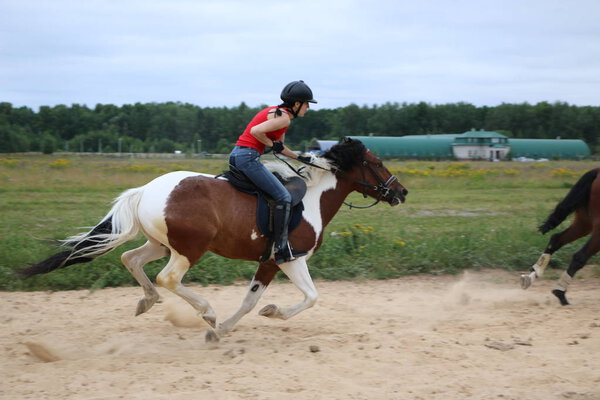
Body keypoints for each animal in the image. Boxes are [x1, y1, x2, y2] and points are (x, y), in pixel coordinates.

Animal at [22, 138, 408, 344]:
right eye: (378, 162)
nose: (401, 192)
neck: (312, 197)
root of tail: (146, 190)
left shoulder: (269, 262)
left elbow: (250, 301)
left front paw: (223, 329)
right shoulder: (288, 259)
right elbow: (310, 297)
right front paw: (269, 313)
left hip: (161, 244)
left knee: (130, 259)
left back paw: (148, 300)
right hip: (188, 249)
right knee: (168, 278)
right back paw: (204, 311)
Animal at [520, 167, 600, 304]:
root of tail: (597, 171)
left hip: (584, 223)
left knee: (556, 239)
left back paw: (533, 275)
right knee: (580, 256)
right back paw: (560, 292)